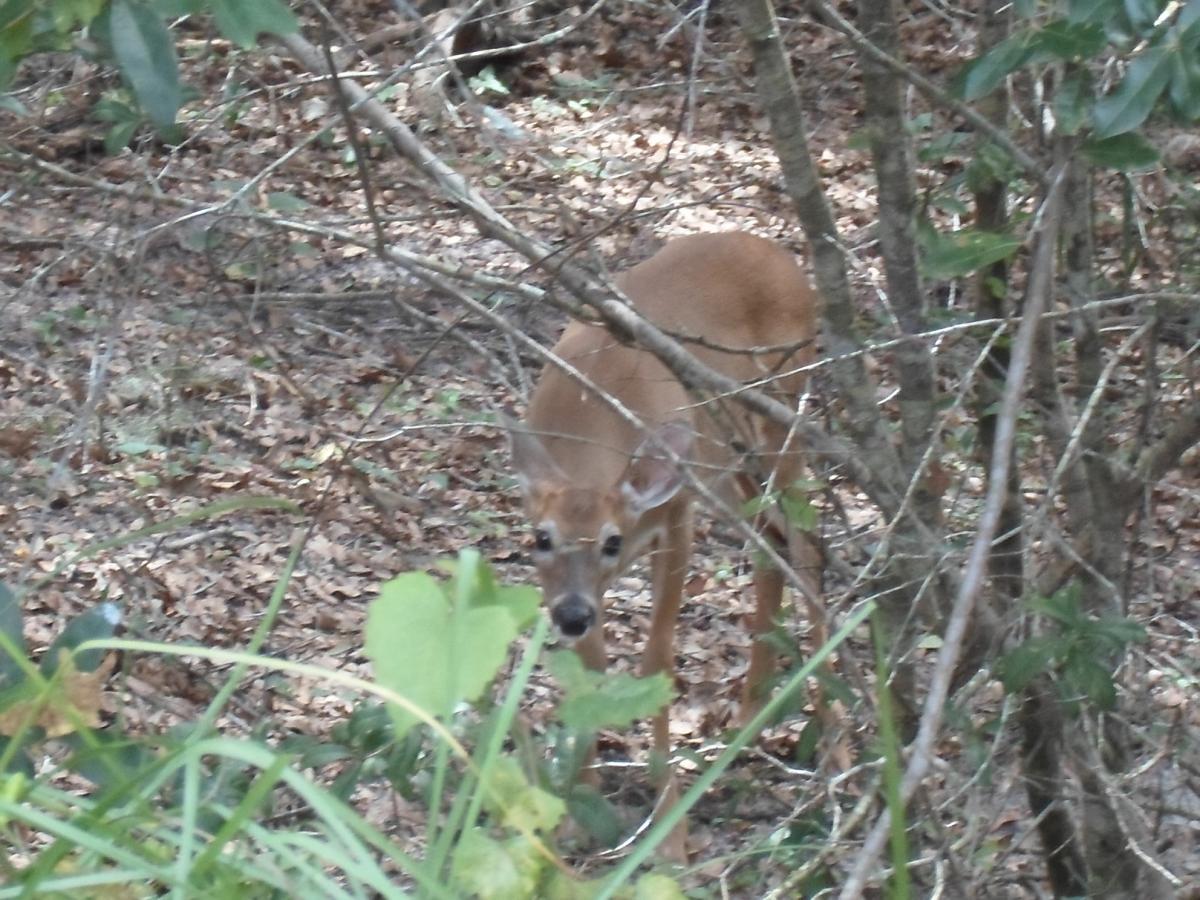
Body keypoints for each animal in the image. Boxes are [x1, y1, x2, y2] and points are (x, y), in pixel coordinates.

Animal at [504, 231, 822, 860]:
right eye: (541, 537)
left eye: (611, 542)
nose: (571, 614)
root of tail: (782, 255)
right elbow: (592, 666)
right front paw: (581, 807)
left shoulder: (677, 513)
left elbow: (659, 660)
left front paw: (669, 831)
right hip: (729, 463)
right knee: (770, 548)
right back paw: (750, 716)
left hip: (781, 418)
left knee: (808, 551)